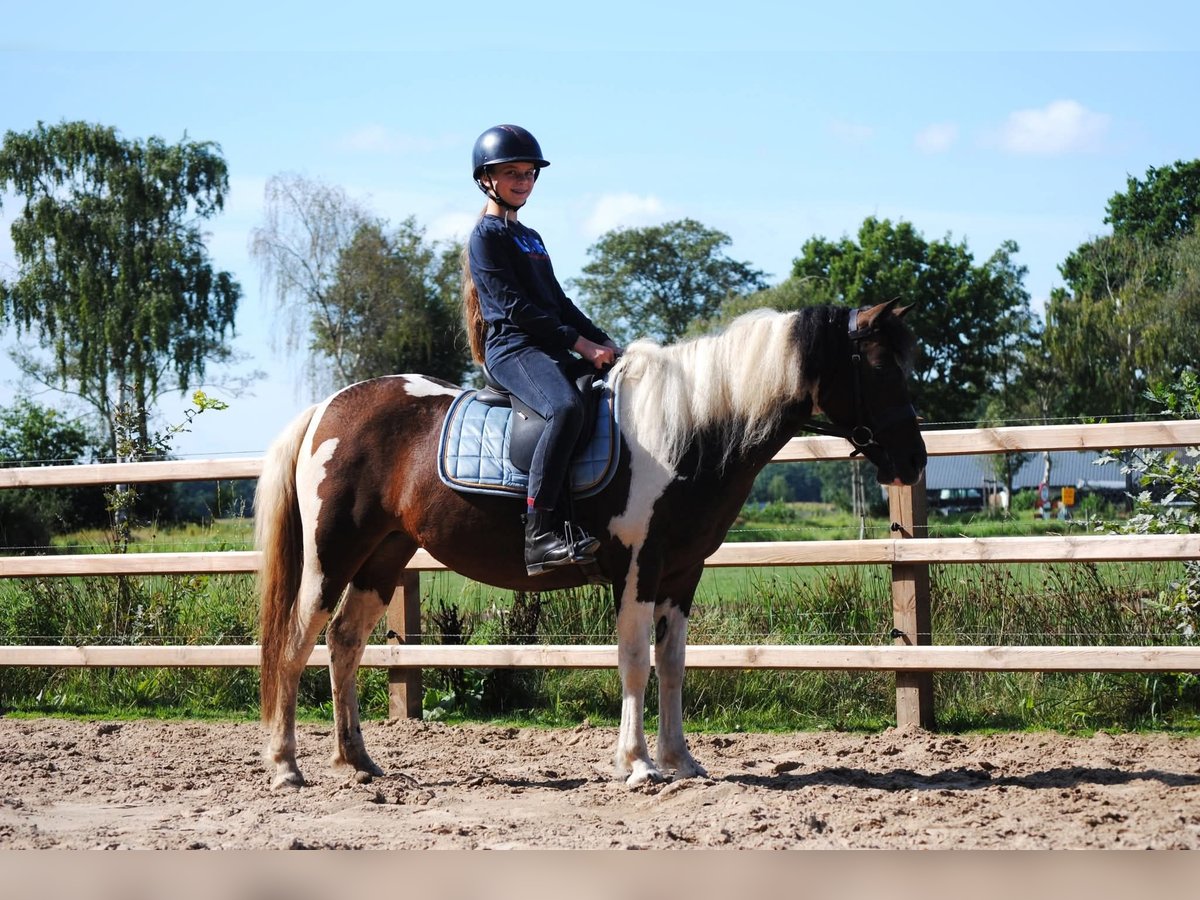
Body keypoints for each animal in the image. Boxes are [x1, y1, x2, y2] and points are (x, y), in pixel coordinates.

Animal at [256, 300, 927, 790]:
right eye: (880, 369)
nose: (915, 462)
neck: (688, 430)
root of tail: (328, 408)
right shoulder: (637, 569)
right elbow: (633, 661)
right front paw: (637, 764)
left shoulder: (682, 576)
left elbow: (674, 664)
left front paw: (681, 761)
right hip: (331, 557)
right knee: (295, 643)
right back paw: (286, 767)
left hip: (383, 557)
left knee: (344, 643)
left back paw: (359, 762)